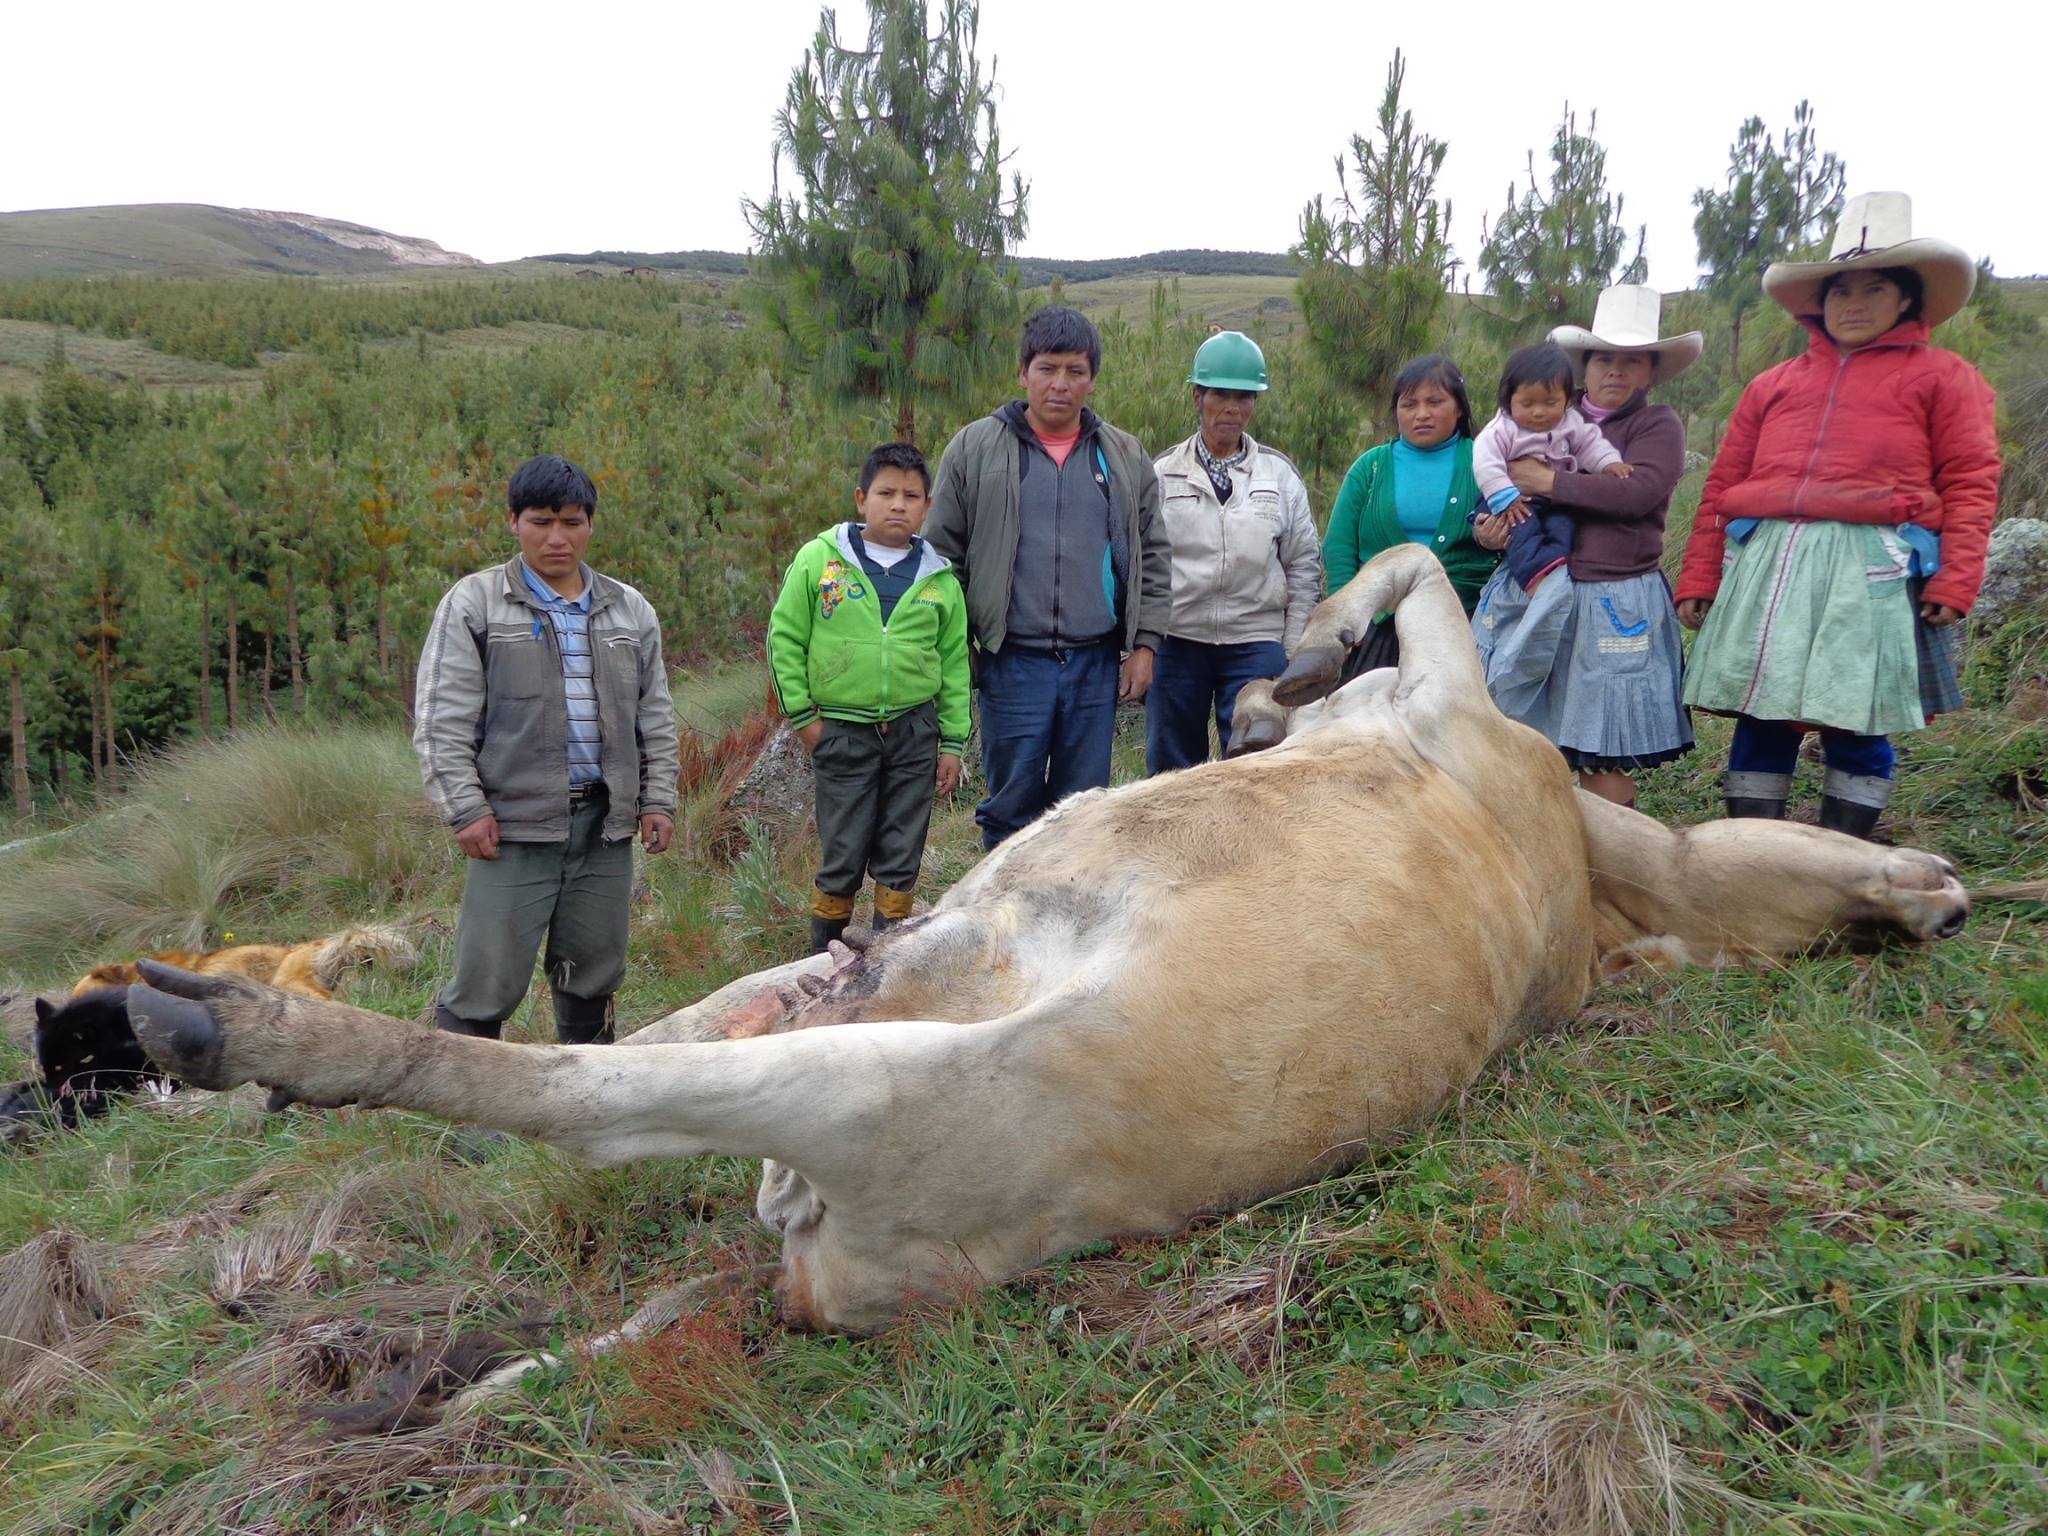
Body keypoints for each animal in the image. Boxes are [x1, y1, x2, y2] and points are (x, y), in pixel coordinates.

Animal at [123, 548, 1966, 1335]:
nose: (1942, 887)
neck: (1594, 870)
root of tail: (823, 1260)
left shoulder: (1451, 695)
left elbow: (1414, 559)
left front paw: (1285, 659)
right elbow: (1402, 564)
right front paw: (1271, 684)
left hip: (881, 1081)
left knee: (584, 1094)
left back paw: (230, 1028)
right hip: (861, 974)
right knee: (647, 1040)